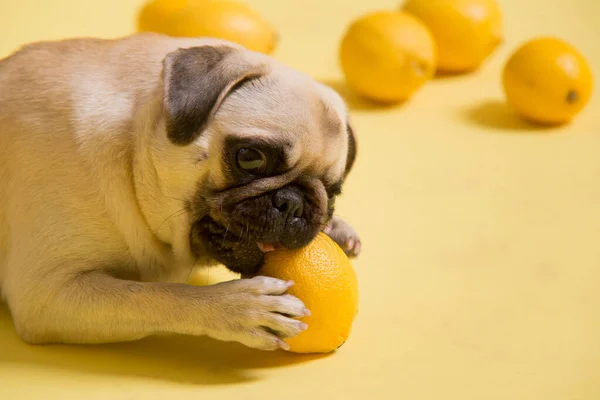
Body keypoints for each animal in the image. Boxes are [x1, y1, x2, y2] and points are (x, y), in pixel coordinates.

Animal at [0, 33, 358, 350]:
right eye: (250, 157)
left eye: (333, 192)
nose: (293, 204)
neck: (131, 153)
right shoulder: (46, 293)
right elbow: (151, 295)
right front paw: (235, 307)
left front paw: (335, 228)